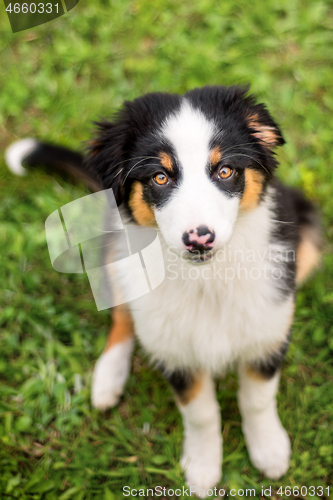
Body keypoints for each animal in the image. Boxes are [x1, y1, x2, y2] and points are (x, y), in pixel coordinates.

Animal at [6, 86, 320, 492]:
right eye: (159, 177)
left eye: (225, 170)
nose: (199, 239)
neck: (207, 278)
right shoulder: (176, 353)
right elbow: (201, 413)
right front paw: (203, 468)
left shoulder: (266, 333)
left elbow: (257, 399)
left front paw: (269, 450)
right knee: (123, 315)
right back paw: (108, 378)